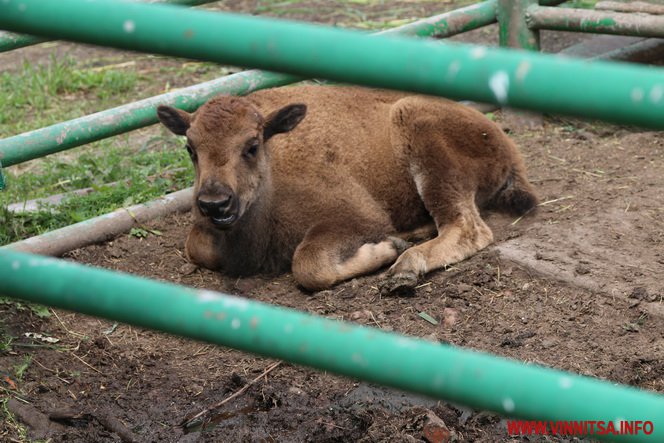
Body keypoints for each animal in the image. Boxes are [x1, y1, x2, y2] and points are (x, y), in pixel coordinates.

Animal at [158, 86, 536, 294]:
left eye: (251, 146)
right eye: (190, 148)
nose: (214, 203)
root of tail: (504, 143)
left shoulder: (353, 217)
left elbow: (308, 265)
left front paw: (388, 249)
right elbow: (197, 248)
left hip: (423, 139)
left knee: (467, 227)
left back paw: (404, 266)